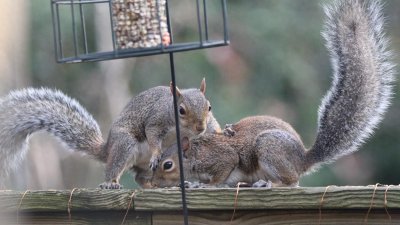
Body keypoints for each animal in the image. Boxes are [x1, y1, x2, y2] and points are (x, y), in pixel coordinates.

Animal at [0, 78, 222, 189]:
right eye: (181, 110)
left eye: (209, 107)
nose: (200, 128)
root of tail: (106, 148)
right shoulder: (156, 120)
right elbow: (152, 137)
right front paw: (156, 153)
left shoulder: (209, 125)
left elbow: (215, 131)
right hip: (125, 145)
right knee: (119, 170)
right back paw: (111, 183)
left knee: (140, 178)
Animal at [148, 0, 396, 188]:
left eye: (167, 165)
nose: (153, 182)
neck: (195, 154)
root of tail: (302, 160)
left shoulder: (222, 158)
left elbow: (222, 172)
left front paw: (204, 185)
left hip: (269, 149)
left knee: (291, 182)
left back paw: (267, 183)